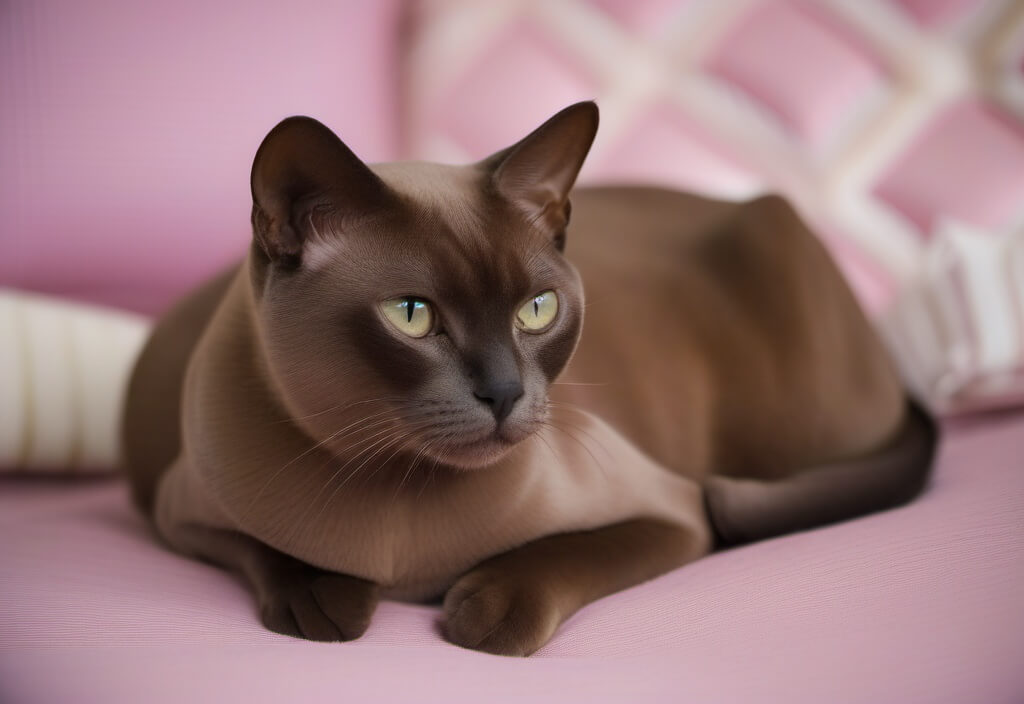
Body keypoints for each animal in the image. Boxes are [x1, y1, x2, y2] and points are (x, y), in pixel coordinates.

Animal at [119, 101, 937, 658]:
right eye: (412, 316)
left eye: (536, 310)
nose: (505, 394)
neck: (401, 519)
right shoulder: (177, 512)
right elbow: (275, 555)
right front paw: (329, 602)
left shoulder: (672, 512)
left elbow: (566, 556)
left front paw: (482, 609)